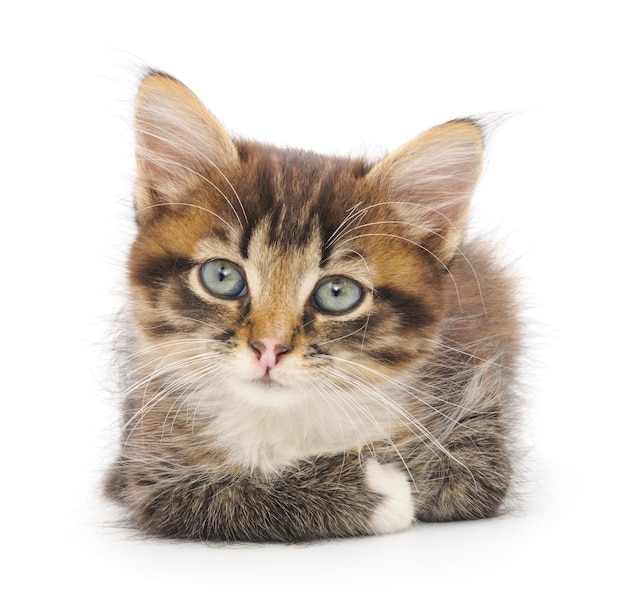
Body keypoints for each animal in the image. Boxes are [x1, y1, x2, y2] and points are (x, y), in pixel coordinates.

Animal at [105, 71, 520, 540]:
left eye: (337, 293)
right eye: (222, 277)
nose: (269, 349)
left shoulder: (476, 402)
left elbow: (469, 479)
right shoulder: (147, 474)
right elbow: (225, 496)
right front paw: (382, 492)